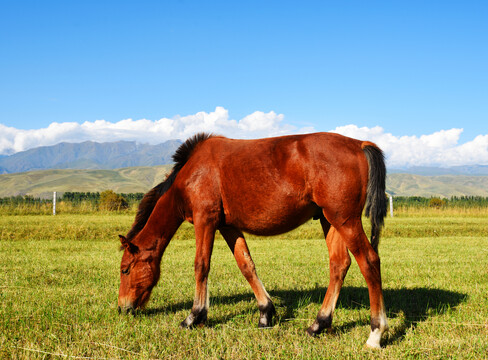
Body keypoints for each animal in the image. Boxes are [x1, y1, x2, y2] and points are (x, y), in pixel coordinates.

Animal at [118, 132, 388, 348]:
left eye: (125, 270)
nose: (122, 308)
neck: (192, 172)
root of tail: (359, 144)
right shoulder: (228, 226)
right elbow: (246, 265)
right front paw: (265, 314)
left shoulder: (206, 221)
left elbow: (201, 266)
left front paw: (194, 316)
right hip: (329, 220)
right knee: (339, 265)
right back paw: (318, 324)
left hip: (345, 221)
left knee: (369, 262)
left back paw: (376, 333)